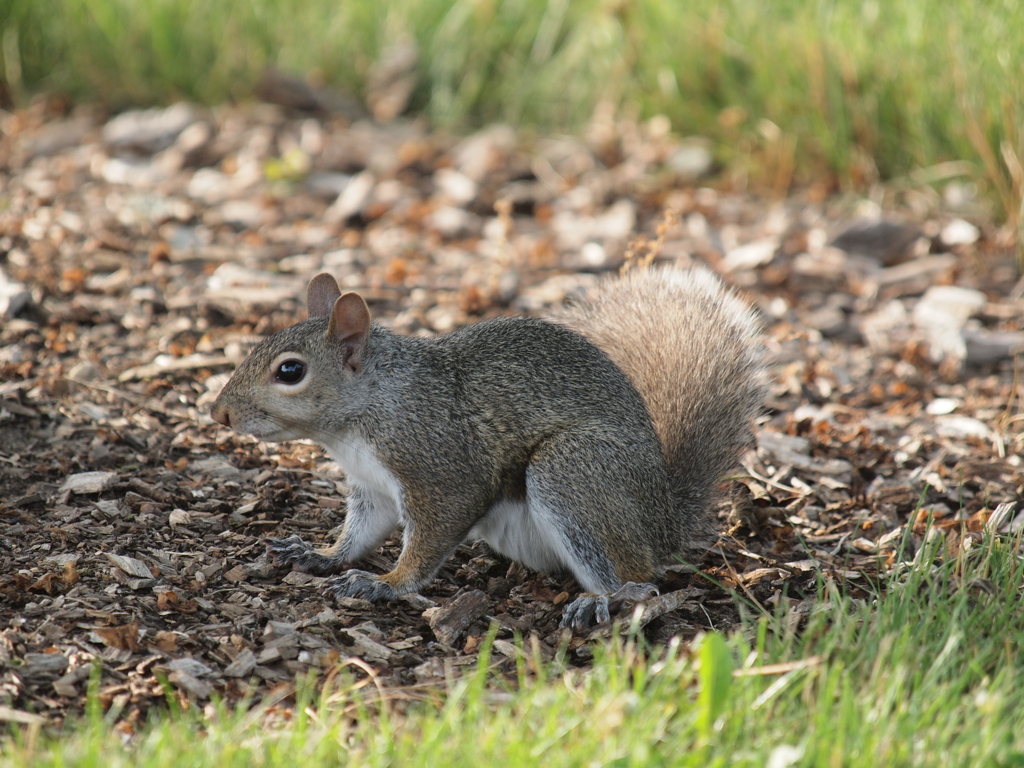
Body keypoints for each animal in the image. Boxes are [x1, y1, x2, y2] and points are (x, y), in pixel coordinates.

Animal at [211, 266, 765, 630]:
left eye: (290, 371)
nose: (220, 414)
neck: (362, 416)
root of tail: (666, 519)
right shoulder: (373, 488)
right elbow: (361, 533)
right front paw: (321, 554)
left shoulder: (440, 469)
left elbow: (431, 537)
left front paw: (386, 582)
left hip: (573, 470)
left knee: (642, 576)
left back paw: (606, 599)